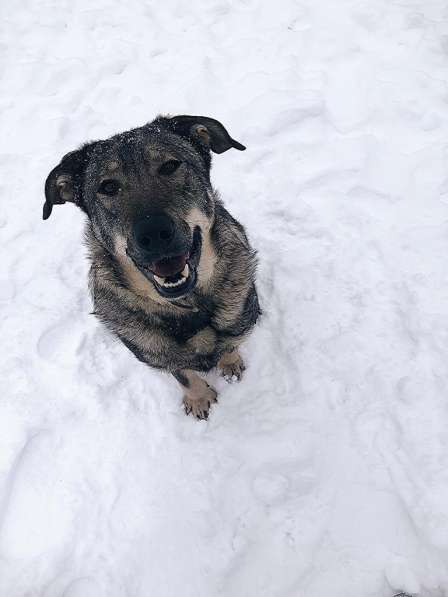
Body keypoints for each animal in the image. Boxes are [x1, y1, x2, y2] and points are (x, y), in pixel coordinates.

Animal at [43, 113, 260, 420]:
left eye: (170, 166)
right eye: (107, 186)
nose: (154, 233)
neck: (187, 307)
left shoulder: (238, 317)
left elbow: (230, 344)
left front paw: (230, 364)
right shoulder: (156, 353)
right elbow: (184, 375)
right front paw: (199, 398)